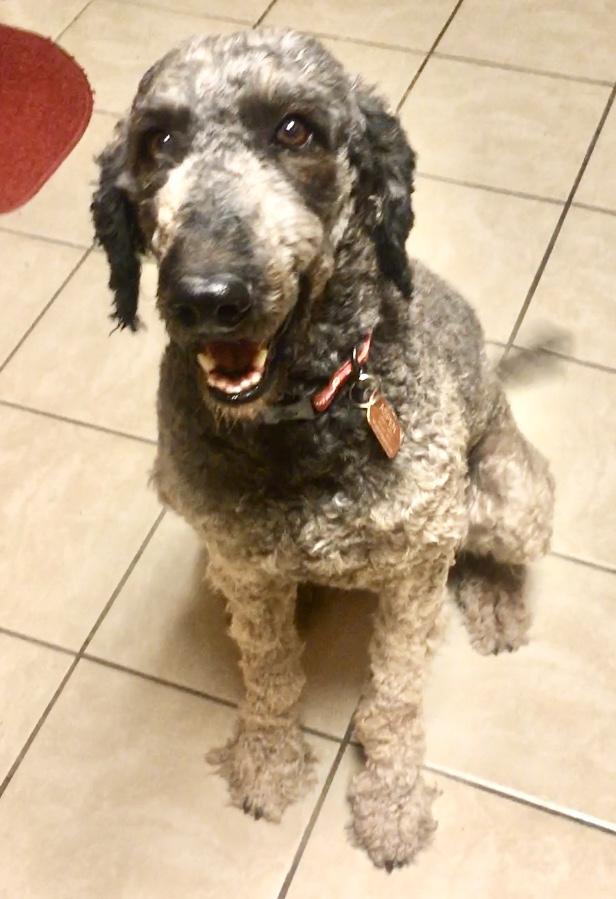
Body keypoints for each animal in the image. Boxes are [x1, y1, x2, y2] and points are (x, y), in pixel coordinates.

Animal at [91, 28, 554, 870]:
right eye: (159, 140)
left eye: (295, 129)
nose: (208, 294)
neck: (305, 414)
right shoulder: (243, 564)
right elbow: (269, 670)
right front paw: (269, 758)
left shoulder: (414, 571)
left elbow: (394, 696)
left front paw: (391, 799)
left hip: (510, 496)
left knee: (482, 544)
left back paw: (496, 595)